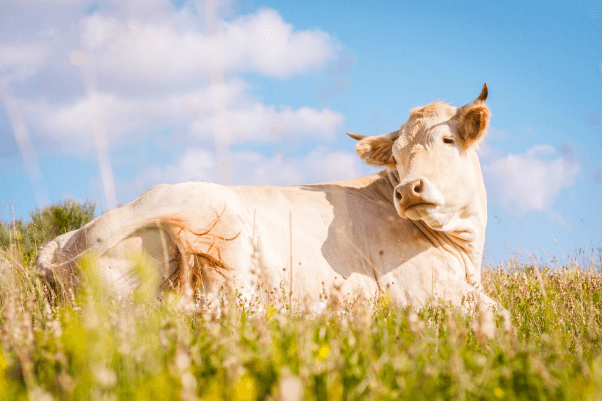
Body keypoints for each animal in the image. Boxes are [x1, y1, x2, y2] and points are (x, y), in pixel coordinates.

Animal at [36, 84, 492, 310]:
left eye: (448, 140)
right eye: (396, 156)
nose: (407, 189)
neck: (465, 253)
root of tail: (65, 246)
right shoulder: (429, 290)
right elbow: (497, 314)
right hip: (226, 252)